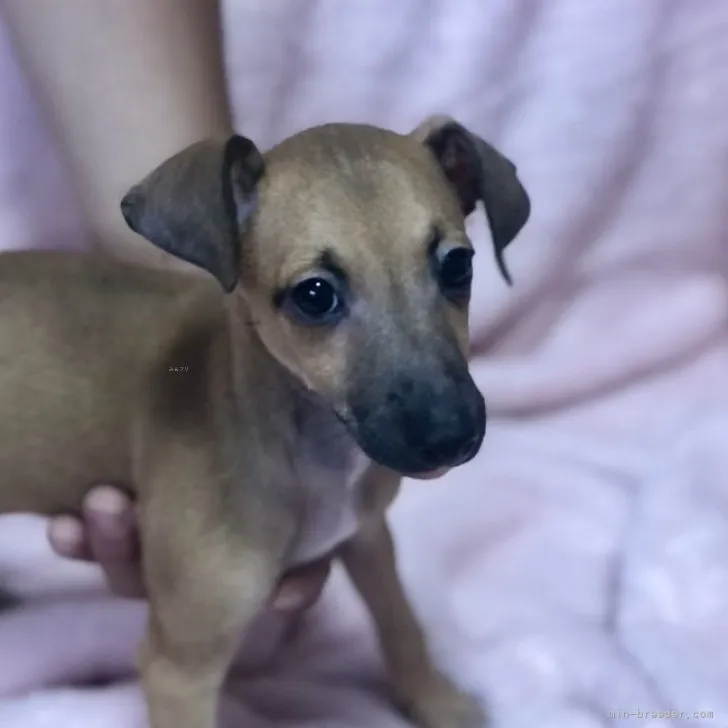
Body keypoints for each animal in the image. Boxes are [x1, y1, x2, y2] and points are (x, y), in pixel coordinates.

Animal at [0, 118, 528, 728]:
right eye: (315, 295)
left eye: (458, 265)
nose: (449, 436)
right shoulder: (178, 670)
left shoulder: (368, 536)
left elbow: (401, 622)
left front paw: (436, 700)